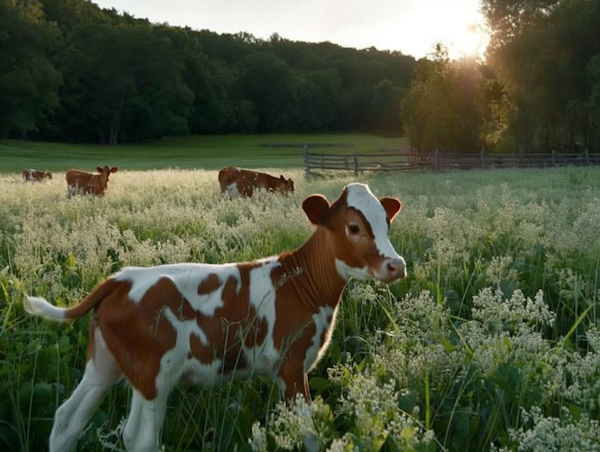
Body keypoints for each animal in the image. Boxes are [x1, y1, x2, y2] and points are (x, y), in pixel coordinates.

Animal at [24, 182, 408, 450]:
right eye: (354, 227)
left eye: (387, 224)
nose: (396, 264)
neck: (300, 283)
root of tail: (120, 279)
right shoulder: (291, 364)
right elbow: (309, 433)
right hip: (154, 375)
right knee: (139, 439)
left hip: (104, 365)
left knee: (66, 422)